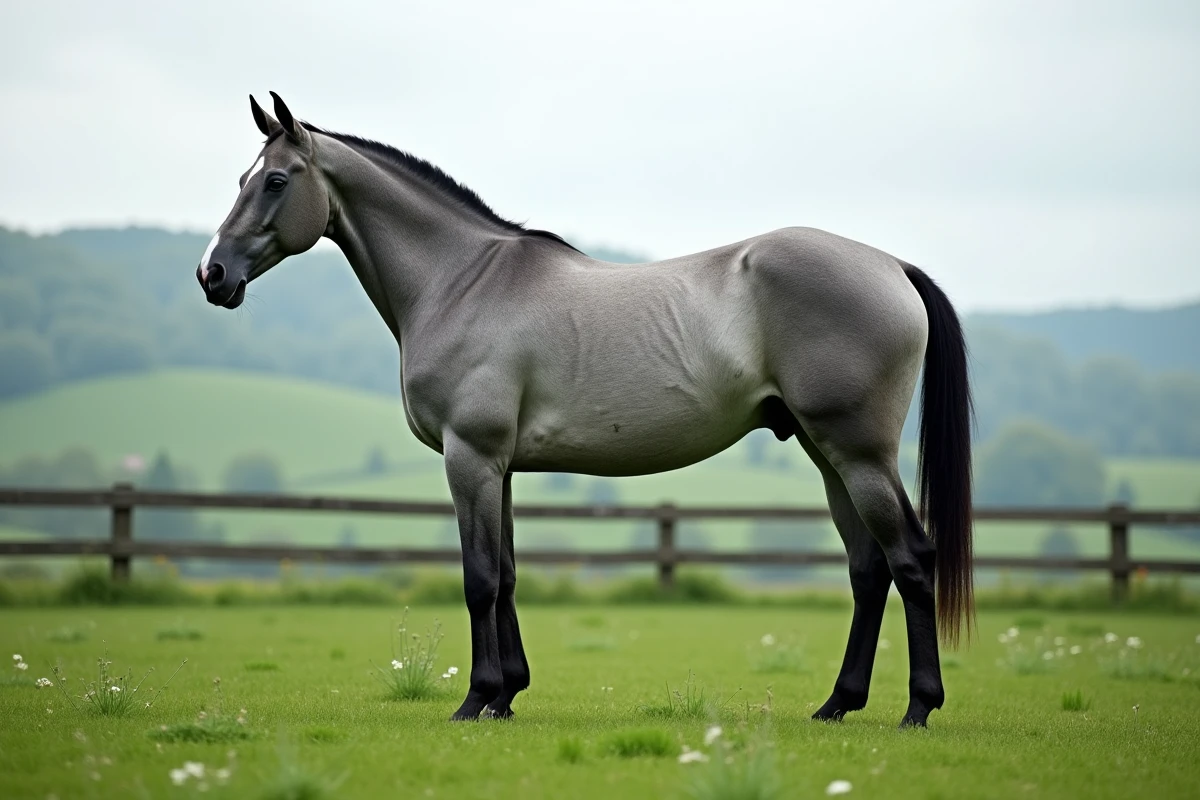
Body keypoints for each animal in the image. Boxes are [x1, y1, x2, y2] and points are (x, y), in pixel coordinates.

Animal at [197, 92, 973, 728]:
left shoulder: (470, 457)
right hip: (826, 455)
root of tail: (891, 265)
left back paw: (918, 708)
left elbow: (479, 578)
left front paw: (475, 698)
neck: (461, 280)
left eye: (274, 180)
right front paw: (507, 694)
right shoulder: (500, 467)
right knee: (868, 571)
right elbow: (507, 574)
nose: (212, 274)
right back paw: (838, 704)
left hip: (858, 454)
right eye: (240, 180)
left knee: (910, 559)